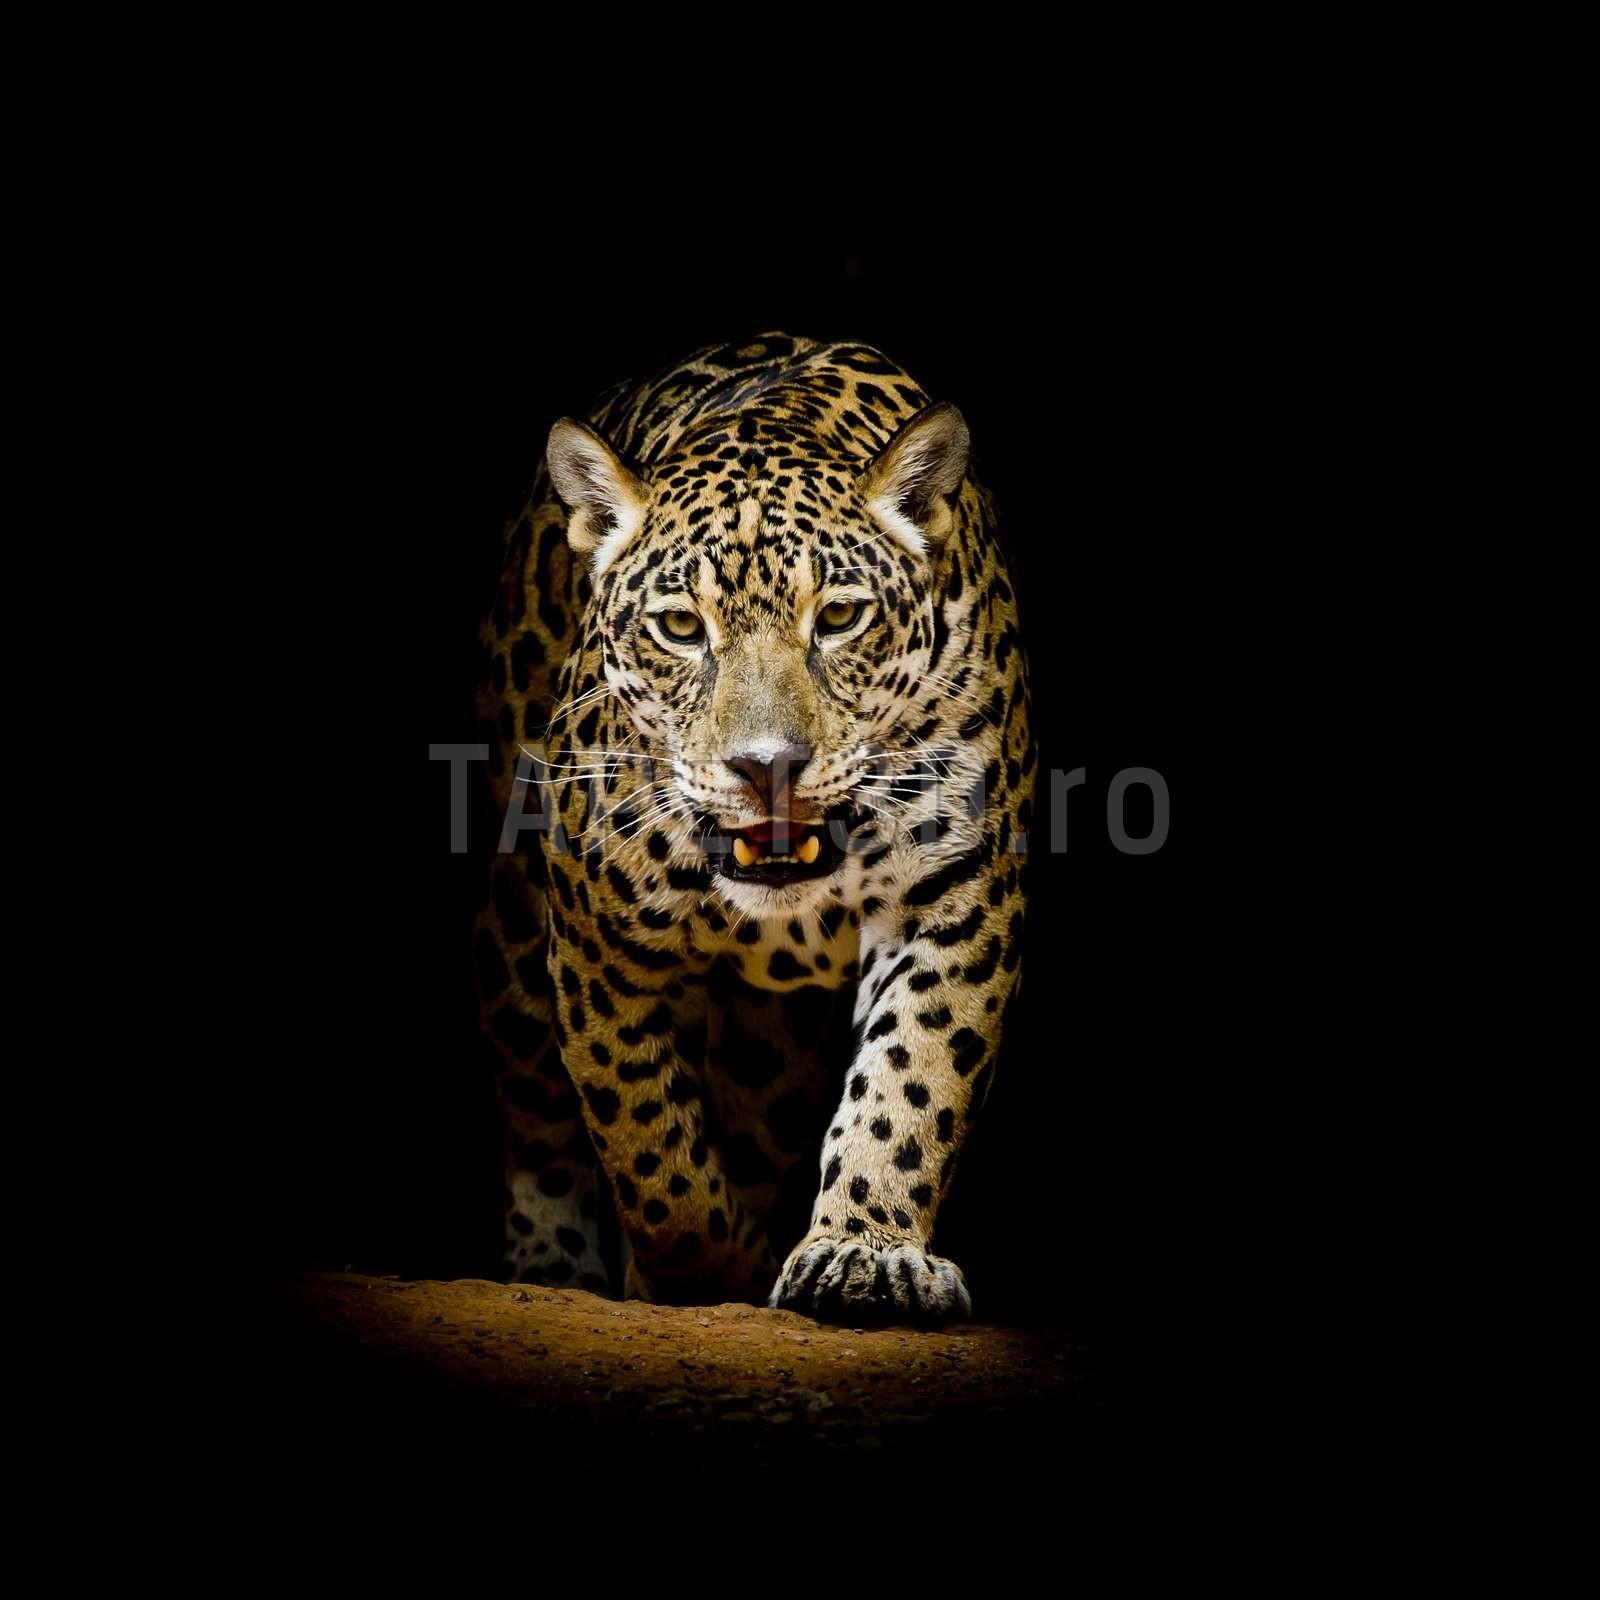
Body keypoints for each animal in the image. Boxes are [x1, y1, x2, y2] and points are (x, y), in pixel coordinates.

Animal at [470, 332, 1034, 1324]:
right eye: (680, 627)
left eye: (840, 617)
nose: (766, 765)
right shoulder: (595, 940)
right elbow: (646, 1139)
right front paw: (704, 1271)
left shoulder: (958, 896)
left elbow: (913, 1076)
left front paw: (863, 1253)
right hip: (510, 931)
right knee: (537, 1109)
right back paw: (551, 1265)